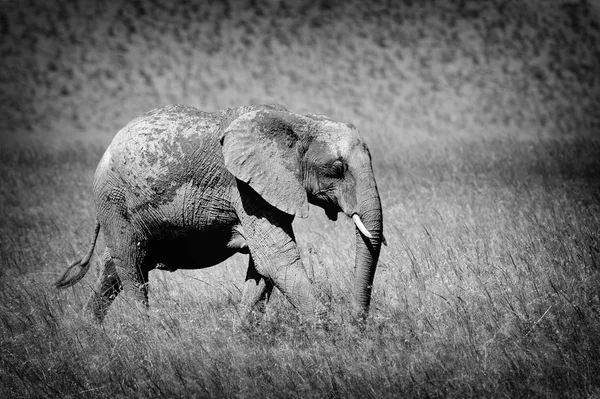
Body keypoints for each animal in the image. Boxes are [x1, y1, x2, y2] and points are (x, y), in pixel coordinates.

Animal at [56, 103, 384, 324]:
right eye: (336, 169)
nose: (358, 327)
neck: (300, 121)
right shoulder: (245, 189)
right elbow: (276, 259)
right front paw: (329, 335)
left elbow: (262, 268)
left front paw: (242, 336)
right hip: (113, 199)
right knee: (131, 264)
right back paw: (147, 333)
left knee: (113, 266)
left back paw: (90, 331)